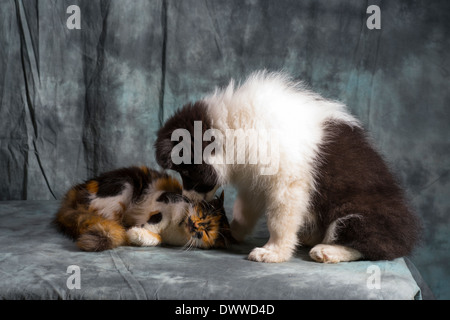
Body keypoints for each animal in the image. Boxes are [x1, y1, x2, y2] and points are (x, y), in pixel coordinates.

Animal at [54, 166, 234, 251]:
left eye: (206, 233)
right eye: (202, 214)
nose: (194, 225)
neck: (180, 228)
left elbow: (157, 238)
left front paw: (138, 234)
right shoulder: (165, 197)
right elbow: (162, 217)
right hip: (125, 186)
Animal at [156, 71, 422, 264]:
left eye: (186, 171)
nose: (186, 199)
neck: (233, 127)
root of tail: (408, 236)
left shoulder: (288, 183)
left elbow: (280, 219)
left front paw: (273, 252)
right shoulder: (255, 178)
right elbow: (245, 209)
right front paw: (231, 231)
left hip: (360, 215)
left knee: (376, 246)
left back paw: (328, 251)